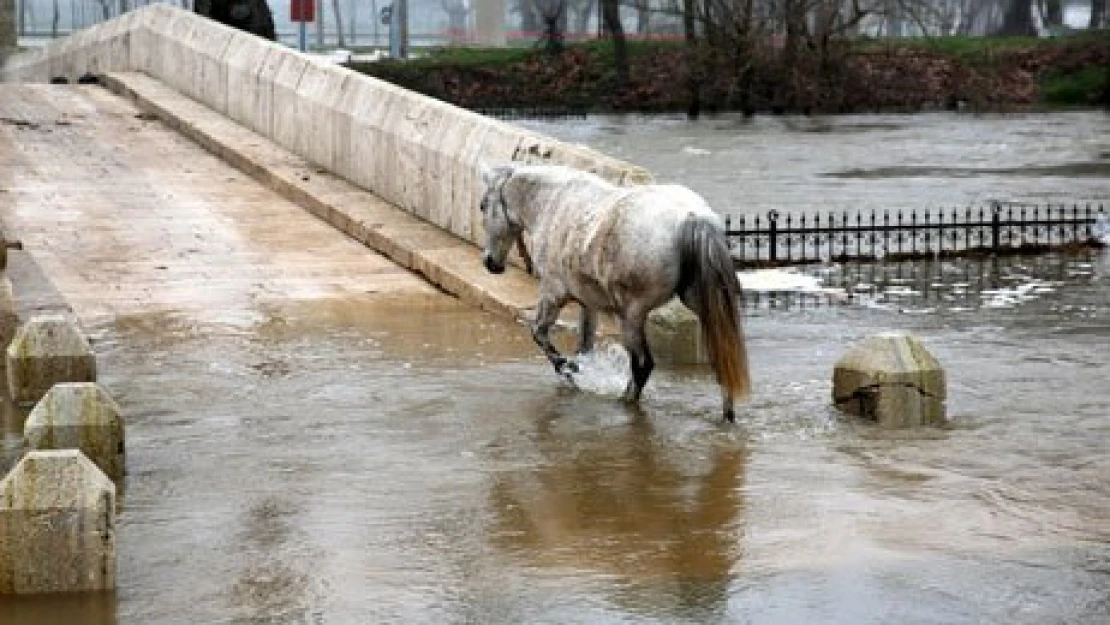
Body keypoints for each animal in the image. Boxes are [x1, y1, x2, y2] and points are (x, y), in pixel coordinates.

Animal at [479, 164, 750, 424]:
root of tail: (691, 217)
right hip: (700, 307)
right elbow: (584, 344)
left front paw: (568, 369)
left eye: (482, 206)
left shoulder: (552, 293)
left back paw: (626, 401)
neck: (553, 202)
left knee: (642, 364)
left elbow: (539, 334)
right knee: (721, 360)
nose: (490, 263)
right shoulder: (588, 303)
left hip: (631, 314)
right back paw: (727, 415)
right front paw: (577, 370)